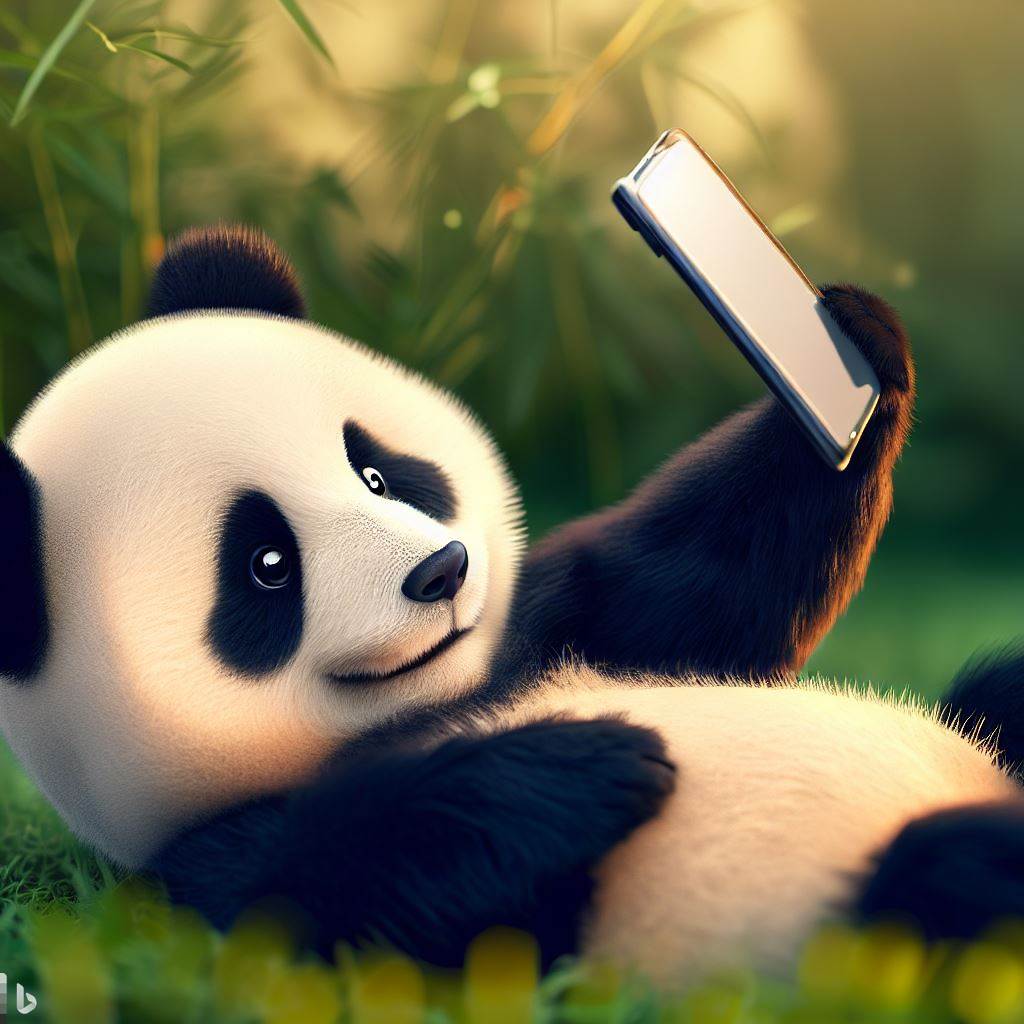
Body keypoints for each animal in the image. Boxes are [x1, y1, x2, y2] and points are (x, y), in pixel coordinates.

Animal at [2, 224, 1021, 985]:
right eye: (266, 565)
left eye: (376, 472)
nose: (443, 571)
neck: (439, 702)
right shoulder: (185, 868)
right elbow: (313, 899)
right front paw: (583, 766)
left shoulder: (555, 631)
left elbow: (694, 590)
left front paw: (847, 350)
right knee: (944, 880)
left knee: (994, 701)